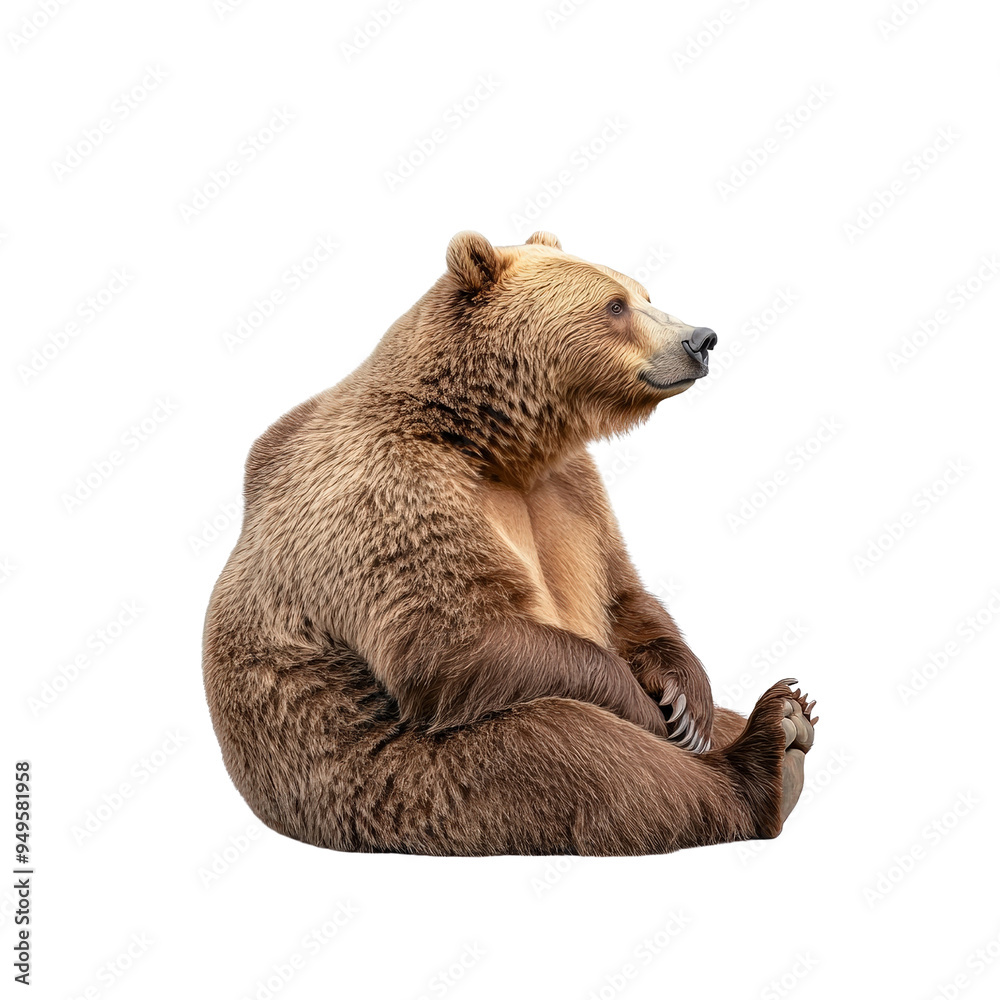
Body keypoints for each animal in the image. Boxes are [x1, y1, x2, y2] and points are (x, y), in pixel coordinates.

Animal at [202, 230, 817, 856]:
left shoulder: (573, 496)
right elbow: (458, 635)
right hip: (391, 770)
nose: (700, 339)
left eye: (645, 292)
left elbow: (621, 595)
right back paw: (767, 757)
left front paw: (684, 699)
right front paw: (649, 709)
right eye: (615, 304)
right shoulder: (390, 488)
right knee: (579, 751)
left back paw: (787, 722)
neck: (493, 445)